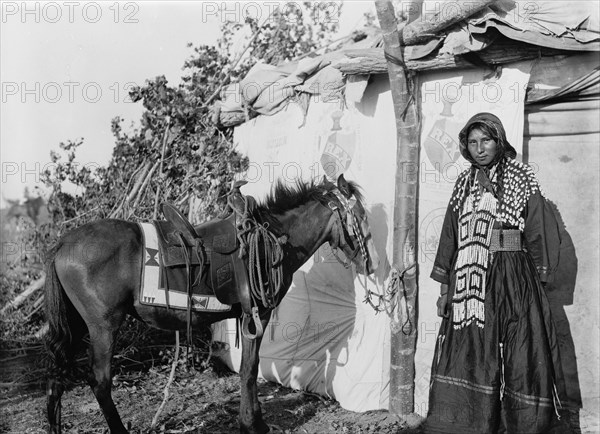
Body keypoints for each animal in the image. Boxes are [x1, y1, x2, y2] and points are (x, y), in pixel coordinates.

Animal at [44, 175, 378, 432]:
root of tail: (62, 243)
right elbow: (249, 369)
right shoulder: (256, 314)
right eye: (360, 217)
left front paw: (253, 420)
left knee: (57, 376)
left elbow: (249, 368)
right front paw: (251, 424)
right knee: (100, 381)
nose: (370, 264)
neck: (273, 239)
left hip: (76, 326)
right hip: (103, 326)